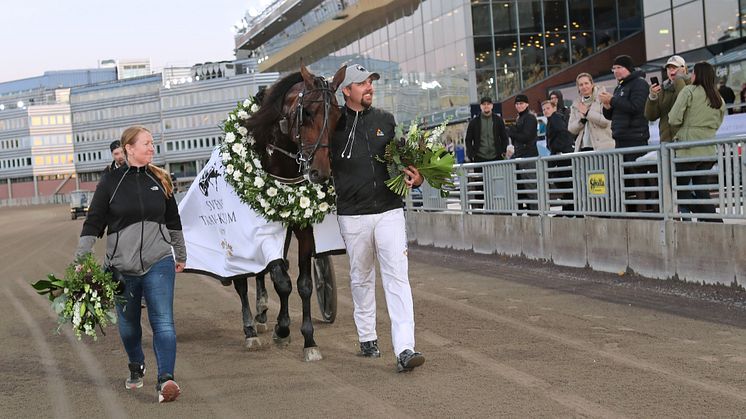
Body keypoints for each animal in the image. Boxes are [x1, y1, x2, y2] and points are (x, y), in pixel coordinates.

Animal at [230, 64, 346, 362]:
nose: (320, 172)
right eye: (308, 113)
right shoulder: (260, 229)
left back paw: (262, 314)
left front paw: (308, 340)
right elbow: (281, 281)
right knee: (242, 280)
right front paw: (281, 330)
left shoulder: (301, 229)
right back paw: (250, 329)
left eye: (338, 116)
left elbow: (302, 283)